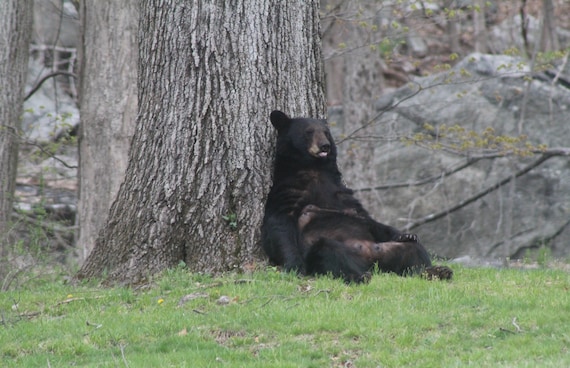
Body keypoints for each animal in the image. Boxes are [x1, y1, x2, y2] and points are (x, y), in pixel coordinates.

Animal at [260, 109, 450, 282]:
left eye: (326, 132)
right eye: (309, 131)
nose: (325, 145)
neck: (314, 168)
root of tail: (371, 260)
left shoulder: (340, 192)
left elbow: (367, 218)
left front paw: (406, 234)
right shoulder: (287, 191)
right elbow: (280, 226)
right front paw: (295, 266)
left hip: (389, 251)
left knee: (415, 252)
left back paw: (436, 271)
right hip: (329, 249)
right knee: (329, 251)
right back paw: (359, 275)